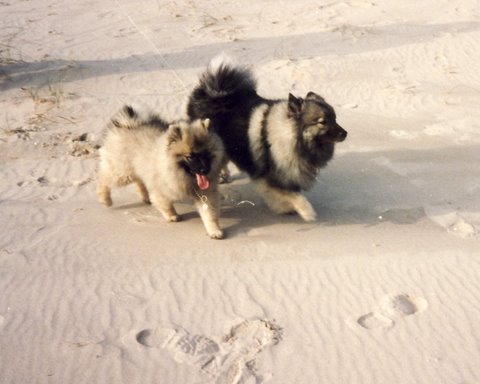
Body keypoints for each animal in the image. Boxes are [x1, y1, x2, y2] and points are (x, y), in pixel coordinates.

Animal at [97, 104, 227, 237]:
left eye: (207, 154)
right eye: (190, 156)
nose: (204, 170)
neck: (184, 176)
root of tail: (127, 124)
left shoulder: (206, 193)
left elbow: (209, 213)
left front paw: (214, 230)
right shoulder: (160, 189)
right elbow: (166, 204)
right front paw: (172, 216)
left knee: (138, 181)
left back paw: (145, 197)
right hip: (122, 173)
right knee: (103, 178)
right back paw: (105, 199)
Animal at [186, 60, 346, 222]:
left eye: (335, 118)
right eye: (322, 122)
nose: (345, 133)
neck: (291, 137)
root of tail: (213, 91)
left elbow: (290, 194)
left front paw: (286, 208)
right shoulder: (271, 178)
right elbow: (295, 196)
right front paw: (306, 212)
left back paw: (225, 176)